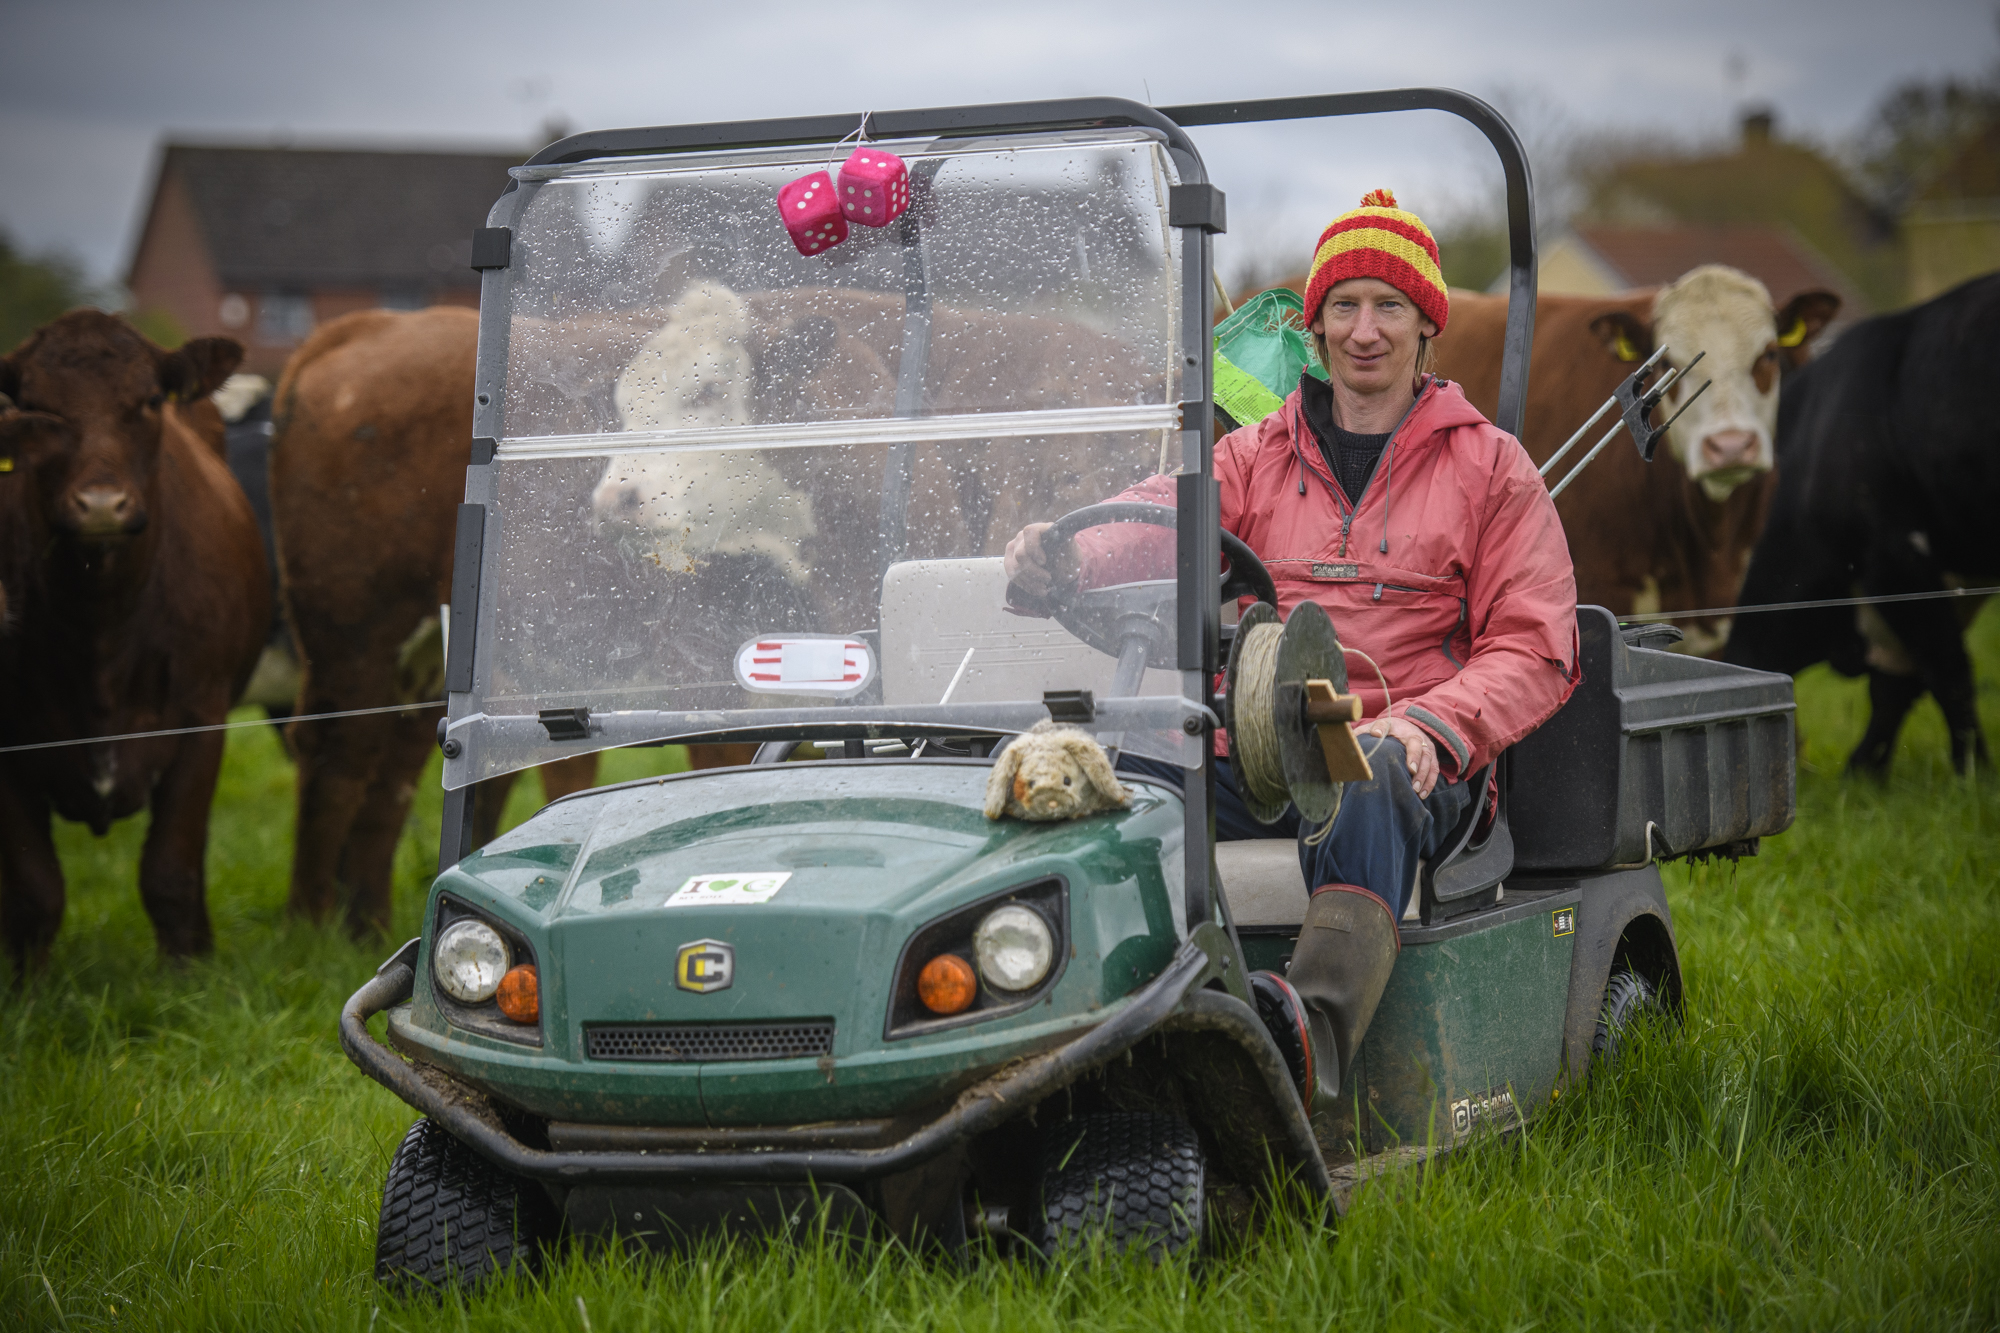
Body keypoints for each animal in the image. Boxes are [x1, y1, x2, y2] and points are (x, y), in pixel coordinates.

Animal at [0, 312, 270, 976]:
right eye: (37, 407)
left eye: (148, 401)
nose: (101, 505)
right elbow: (35, 891)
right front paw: (26, 986)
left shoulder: (202, 720)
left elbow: (169, 870)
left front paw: (186, 977)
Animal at [270, 308, 752, 932]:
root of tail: (378, 321)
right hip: (354, 629)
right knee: (337, 753)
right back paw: (310, 921)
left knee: (393, 763)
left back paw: (367, 924)